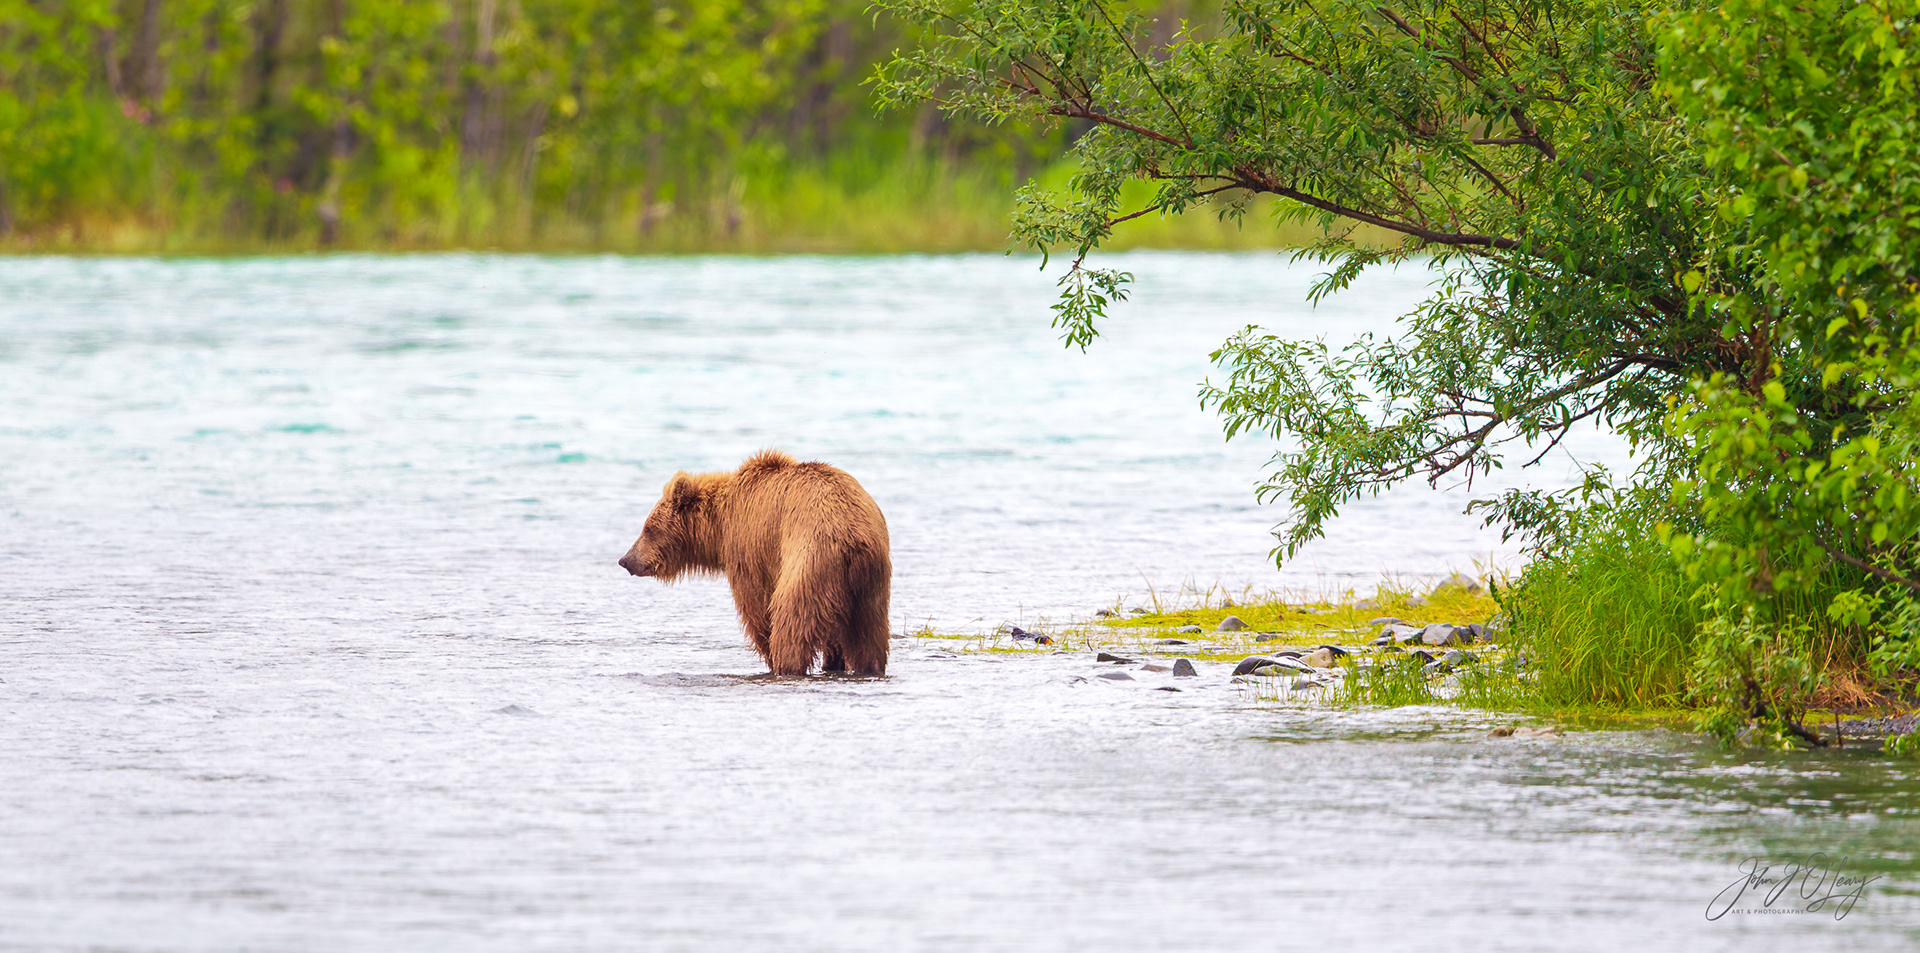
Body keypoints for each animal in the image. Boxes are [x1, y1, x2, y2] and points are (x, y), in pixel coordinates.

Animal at [618, 450, 891, 676]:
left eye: (648, 528)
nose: (626, 560)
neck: (719, 525)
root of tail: (853, 538)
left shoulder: (748, 548)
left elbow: (756, 605)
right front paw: (833, 659)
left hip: (811, 561)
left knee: (791, 619)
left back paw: (785, 665)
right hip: (872, 583)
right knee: (871, 634)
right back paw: (870, 666)